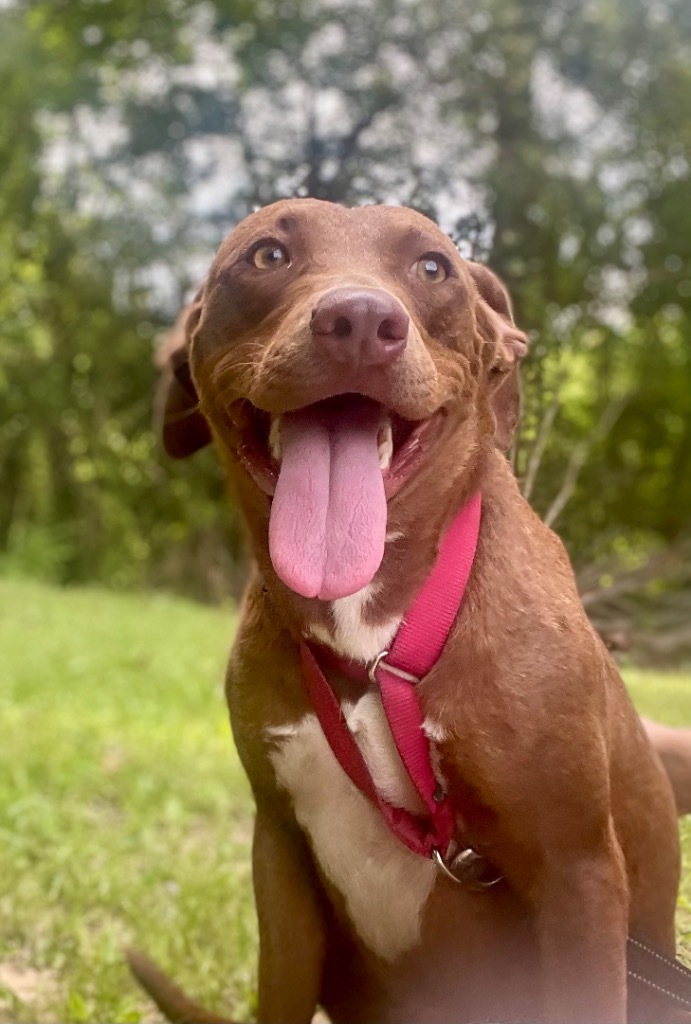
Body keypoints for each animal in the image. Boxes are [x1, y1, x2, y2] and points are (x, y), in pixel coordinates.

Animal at [132, 199, 691, 1024]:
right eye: (267, 255)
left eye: (432, 267)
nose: (360, 321)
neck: (376, 635)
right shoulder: (281, 859)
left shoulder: (577, 874)